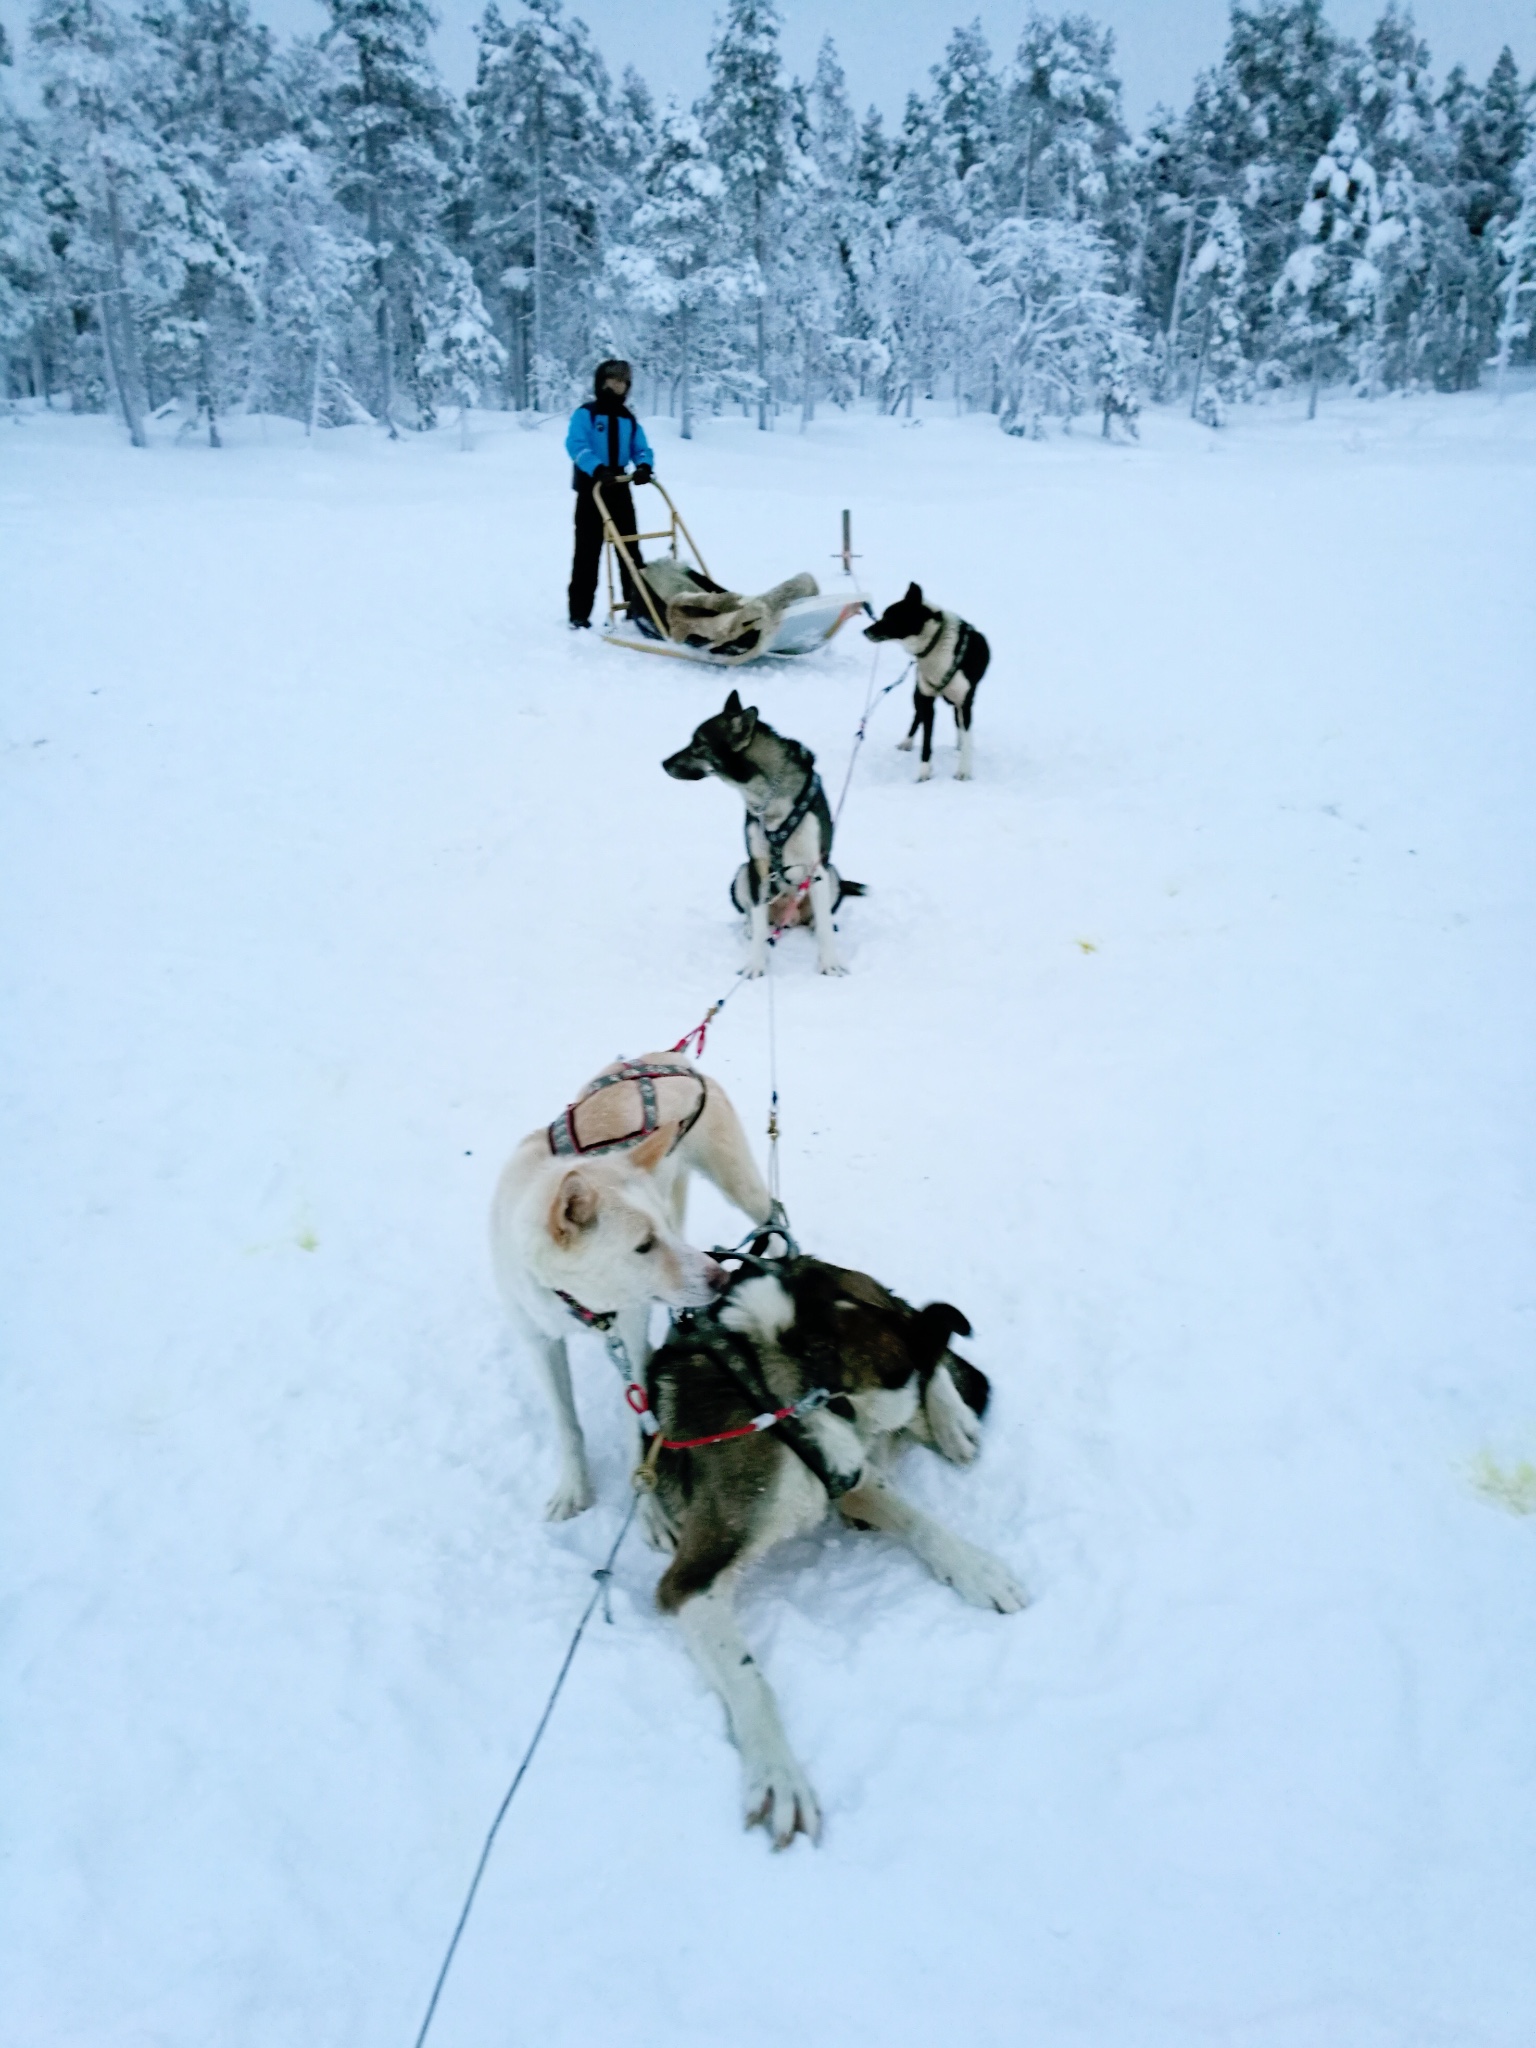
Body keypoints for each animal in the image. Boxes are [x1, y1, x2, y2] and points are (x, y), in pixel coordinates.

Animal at [493, 1056, 774, 1523]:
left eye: (658, 1231)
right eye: (643, 1244)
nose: (720, 1279)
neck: (578, 1302)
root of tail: (669, 1056)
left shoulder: (630, 1338)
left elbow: (638, 1433)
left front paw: (649, 1514)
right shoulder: (540, 1342)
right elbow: (567, 1424)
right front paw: (574, 1488)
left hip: (741, 1184)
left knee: (775, 1213)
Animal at [643, 1245, 1028, 1859]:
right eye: (839, 1408)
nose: (845, 1483)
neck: (772, 1401)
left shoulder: (848, 1470)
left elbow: (918, 1519)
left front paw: (974, 1568)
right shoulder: (691, 1580)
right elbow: (752, 1679)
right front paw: (778, 1773)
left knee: (924, 1326)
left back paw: (952, 1420)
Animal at [663, 688, 868, 974]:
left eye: (698, 744)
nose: (663, 763)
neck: (770, 797)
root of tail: (789, 917)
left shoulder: (816, 866)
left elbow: (826, 928)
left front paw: (829, 964)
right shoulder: (758, 867)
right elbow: (759, 925)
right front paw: (755, 965)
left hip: (832, 876)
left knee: (822, 915)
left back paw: (815, 923)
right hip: (742, 874)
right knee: (753, 915)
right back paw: (750, 927)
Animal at [868, 593, 999, 790]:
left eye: (889, 617)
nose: (865, 631)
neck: (936, 645)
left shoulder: (965, 702)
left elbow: (966, 734)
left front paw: (964, 771)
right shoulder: (927, 700)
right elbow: (926, 741)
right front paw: (924, 774)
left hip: (957, 702)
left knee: (958, 723)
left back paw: (959, 743)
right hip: (917, 695)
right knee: (917, 717)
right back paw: (907, 742)